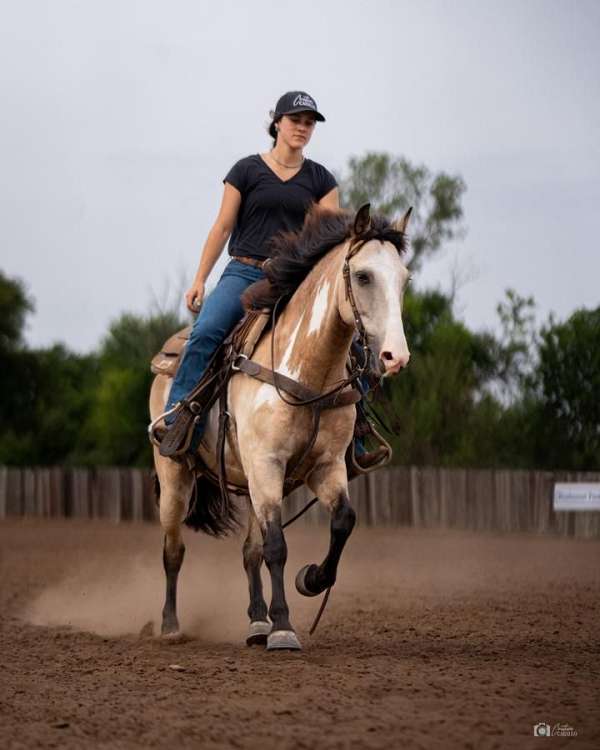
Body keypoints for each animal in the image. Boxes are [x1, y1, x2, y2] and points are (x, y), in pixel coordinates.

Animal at [150, 203, 412, 648]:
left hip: (252, 483)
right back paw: (170, 625)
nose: (396, 356)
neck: (307, 372)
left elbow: (343, 522)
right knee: (174, 550)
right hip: (174, 476)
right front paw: (285, 628)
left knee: (248, 551)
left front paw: (310, 580)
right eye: (363, 276)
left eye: (404, 279)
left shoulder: (326, 467)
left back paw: (257, 623)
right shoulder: (266, 463)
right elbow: (277, 546)